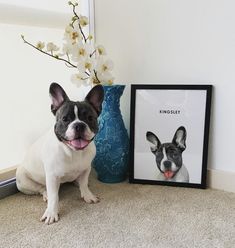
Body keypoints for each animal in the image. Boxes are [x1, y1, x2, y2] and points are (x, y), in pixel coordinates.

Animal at [15, 83, 103, 225]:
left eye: (90, 118)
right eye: (65, 119)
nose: (79, 125)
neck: (73, 152)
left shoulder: (86, 169)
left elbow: (84, 183)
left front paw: (87, 195)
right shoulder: (52, 176)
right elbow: (53, 197)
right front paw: (51, 212)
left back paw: (76, 182)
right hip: (22, 181)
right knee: (41, 189)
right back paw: (45, 194)